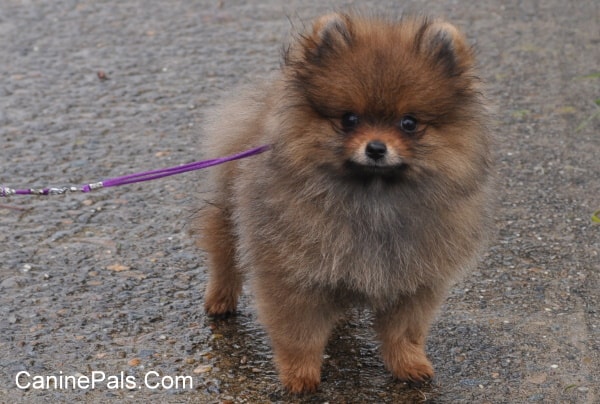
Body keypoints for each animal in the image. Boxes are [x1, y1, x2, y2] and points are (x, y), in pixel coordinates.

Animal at [197, 12, 492, 394]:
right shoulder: (292, 274)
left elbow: (404, 332)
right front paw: (300, 376)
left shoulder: (413, 279)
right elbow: (299, 333)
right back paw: (220, 299)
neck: (373, 199)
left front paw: (409, 365)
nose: (376, 148)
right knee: (224, 255)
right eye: (349, 119)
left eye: (409, 123)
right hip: (229, 214)